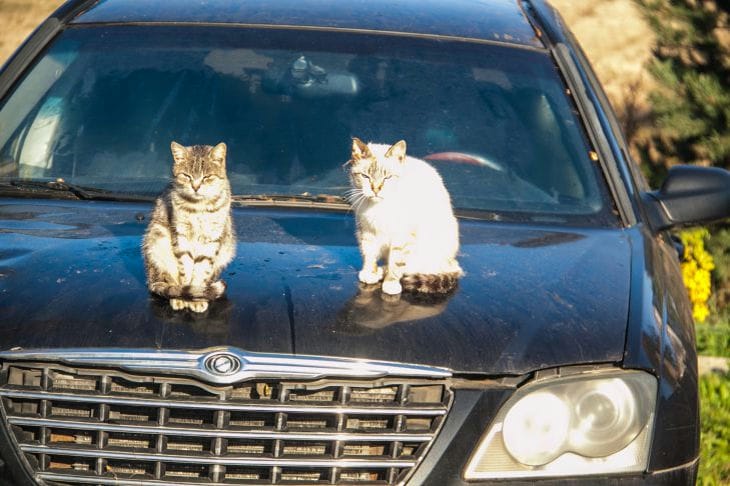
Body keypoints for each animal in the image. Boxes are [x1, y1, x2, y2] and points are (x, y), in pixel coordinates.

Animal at [141, 142, 235, 314]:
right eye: (186, 175)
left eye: (207, 177)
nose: (196, 187)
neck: (198, 207)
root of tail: (151, 279)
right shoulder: (181, 235)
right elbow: (185, 268)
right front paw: (187, 296)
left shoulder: (212, 238)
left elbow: (201, 269)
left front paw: (197, 298)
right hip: (156, 242)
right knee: (167, 280)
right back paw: (177, 296)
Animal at [346, 138, 460, 296]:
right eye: (365, 176)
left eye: (387, 177)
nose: (375, 189)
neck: (379, 207)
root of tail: (451, 262)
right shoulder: (367, 231)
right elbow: (369, 255)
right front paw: (370, 274)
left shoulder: (402, 236)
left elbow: (396, 262)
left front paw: (391, 284)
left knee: (416, 269)